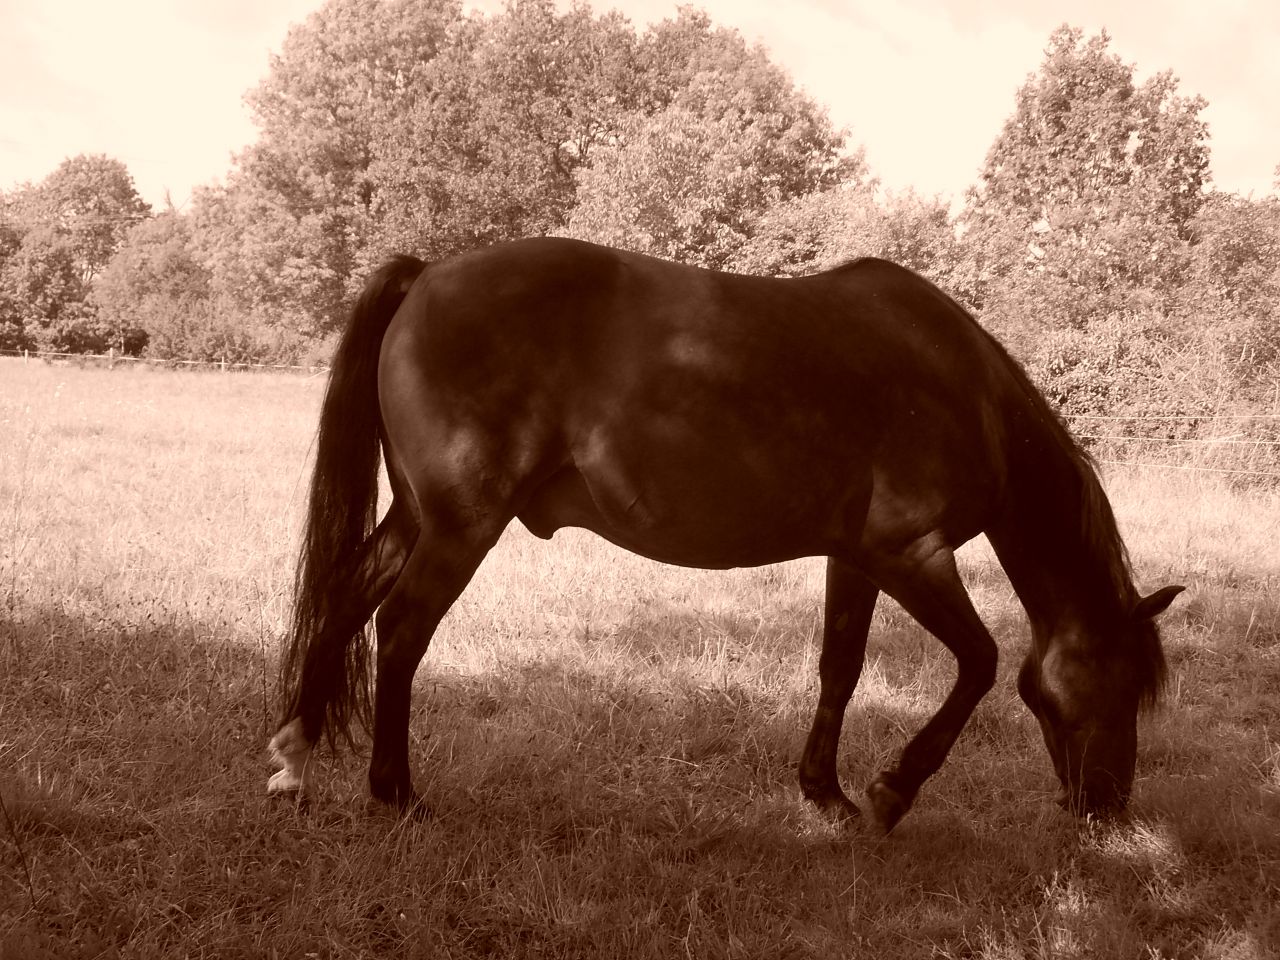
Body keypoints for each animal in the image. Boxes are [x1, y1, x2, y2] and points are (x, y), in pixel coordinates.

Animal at [266, 237, 1182, 831]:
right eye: (1123, 685)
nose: (1109, 810)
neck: (966, 394)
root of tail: (429, 275)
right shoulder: (912, 555)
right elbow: (981, 664)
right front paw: (891, 793)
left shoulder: (856, 559)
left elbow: (840, 668)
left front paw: (826, 793)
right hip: (461, 526)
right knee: (400, 631)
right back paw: (397, 794)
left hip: (418, 517)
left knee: (347, 598)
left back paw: (295, 756)